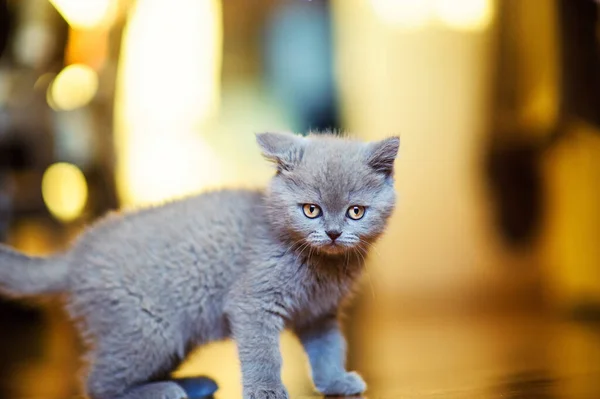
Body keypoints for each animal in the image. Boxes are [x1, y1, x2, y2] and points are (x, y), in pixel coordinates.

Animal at [0, 132, 398, 399]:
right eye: (311, 210)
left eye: (356, 212)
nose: (333, 233)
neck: (322, 267)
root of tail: (75, 255)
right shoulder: (253, 303)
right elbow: (263, 354)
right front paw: (266, 390)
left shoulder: (320, 313)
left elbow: (328, 348)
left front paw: (335, 381)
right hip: (150, 330)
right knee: (97, 383)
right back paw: (164, 391)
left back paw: (192, 385)